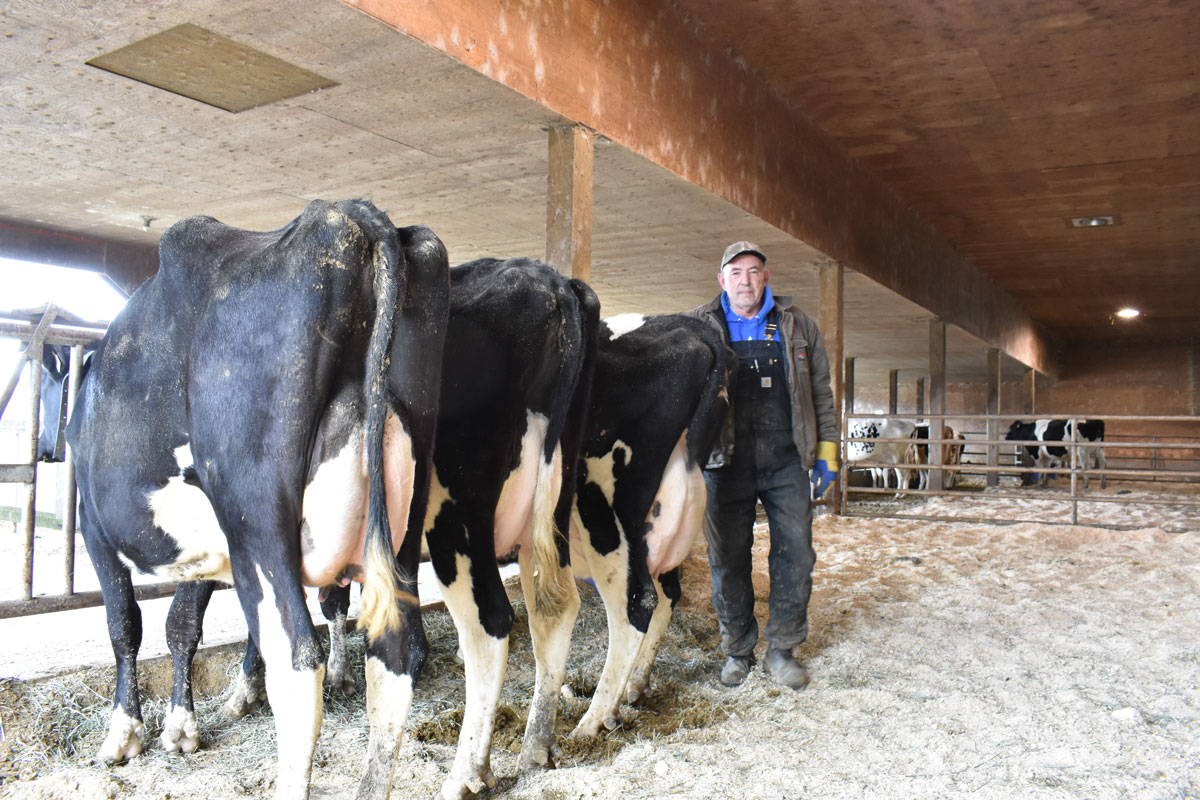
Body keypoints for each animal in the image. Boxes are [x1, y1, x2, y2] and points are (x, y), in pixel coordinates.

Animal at [65, 199, 449, 800]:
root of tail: (345, 213)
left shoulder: (94, 525)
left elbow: (125, 624)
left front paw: (124, 734)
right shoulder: (205, 546)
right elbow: (182, 623)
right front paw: (180, 726)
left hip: (255, 513)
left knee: (297, 660)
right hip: (402, 518)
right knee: (394, 652)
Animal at [568, 313, 728, 737]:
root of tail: (695, 325)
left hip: (604, 513)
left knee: (636, 605)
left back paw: (589, 723)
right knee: (667, 593)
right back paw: (634, 686)